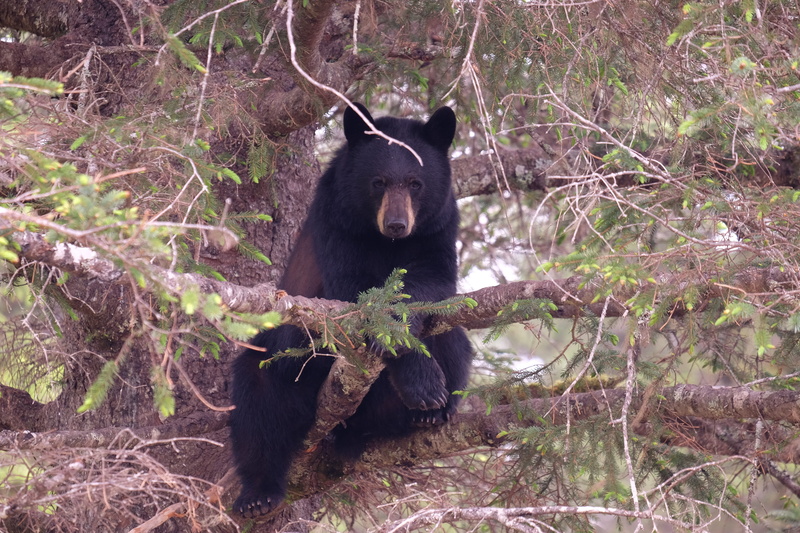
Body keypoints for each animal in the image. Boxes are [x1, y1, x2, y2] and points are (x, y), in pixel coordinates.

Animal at [229, 103, 472, 518]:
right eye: (378, 182)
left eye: (416, 183)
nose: (396, 224)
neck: (385, 243)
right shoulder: (337, 224)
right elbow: (353, 292)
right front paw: (422, 383)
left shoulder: (439, 227)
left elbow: (432, 284)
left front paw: (427, 394)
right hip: (288, 365)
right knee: (255, 397)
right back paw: (258, 495)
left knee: (451, 338)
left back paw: (432, 414)